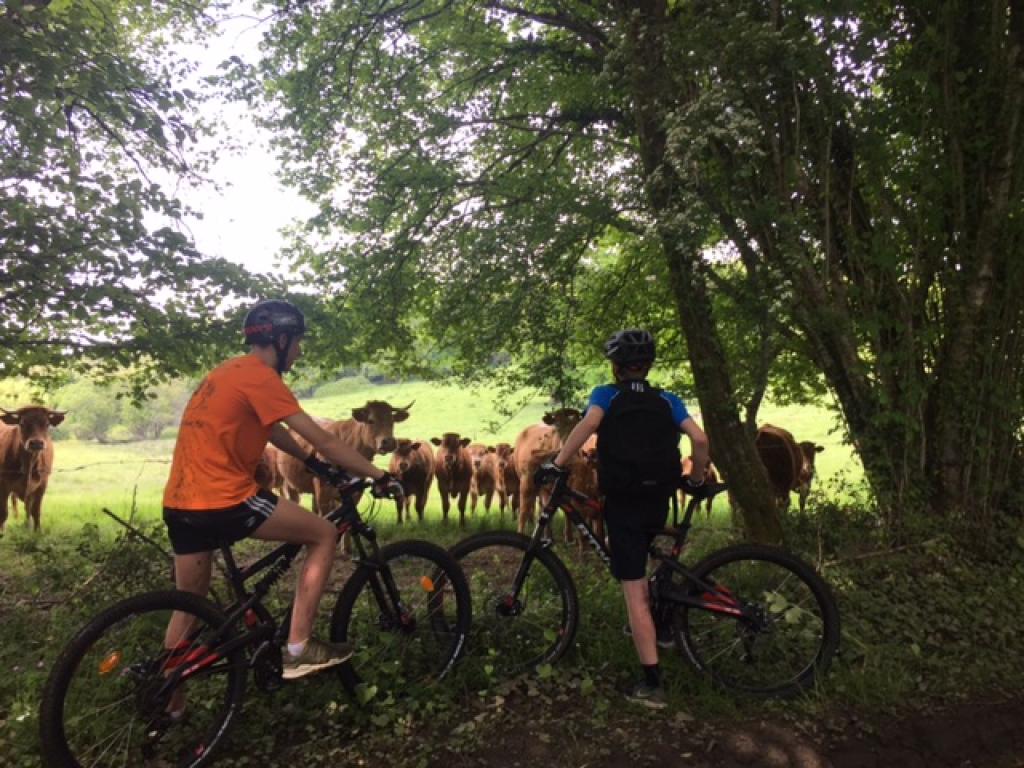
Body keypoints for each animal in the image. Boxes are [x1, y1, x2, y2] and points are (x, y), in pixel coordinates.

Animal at [278, 405, 413, 514]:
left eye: (392, 421)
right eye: (371, 421)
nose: (389, 442)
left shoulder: (355, 493)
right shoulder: (323, 494)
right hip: (289, 484)